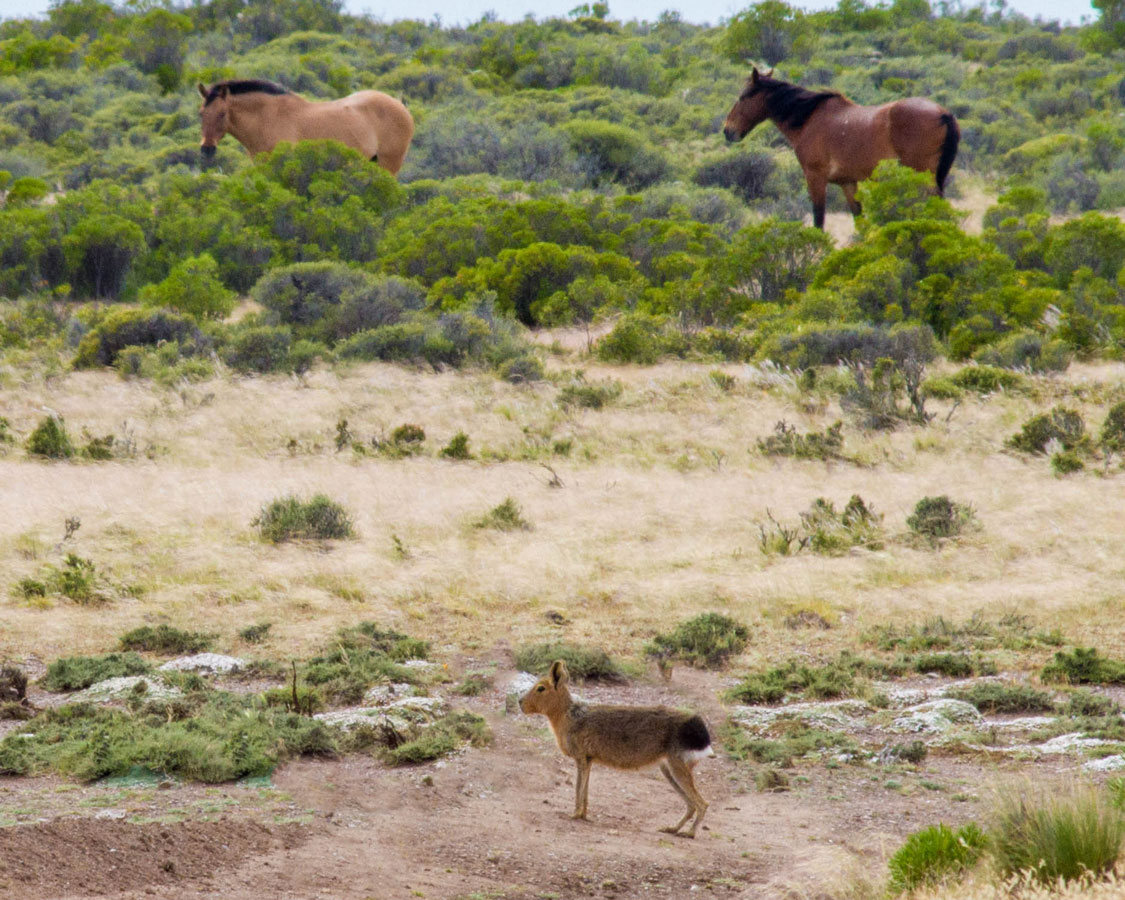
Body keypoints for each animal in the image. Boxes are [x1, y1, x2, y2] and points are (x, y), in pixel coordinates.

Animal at [196, 79, 414, 175]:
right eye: (201, 113)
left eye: (222, 114)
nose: (206, 149)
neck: (268, 118)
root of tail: (400, 105)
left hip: (389, 165)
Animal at [720, 67, 958, 228]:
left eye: (743, 97)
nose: (728, 131)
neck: (809, 120)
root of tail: (944, 114)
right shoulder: (848, 183)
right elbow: (860, 221)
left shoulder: (815, 178)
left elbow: (819, 220)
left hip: (924, 177)